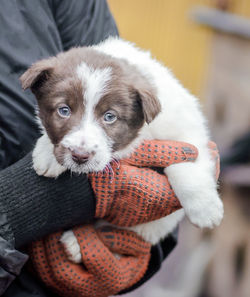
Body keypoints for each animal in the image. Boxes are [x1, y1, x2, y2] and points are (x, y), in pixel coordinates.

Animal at [20, 36, 224, 262]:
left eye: (110, 116)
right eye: (63, 110)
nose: (80, 156)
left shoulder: (186, 129)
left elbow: (186, 164)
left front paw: (204, 209)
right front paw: (47, 155)